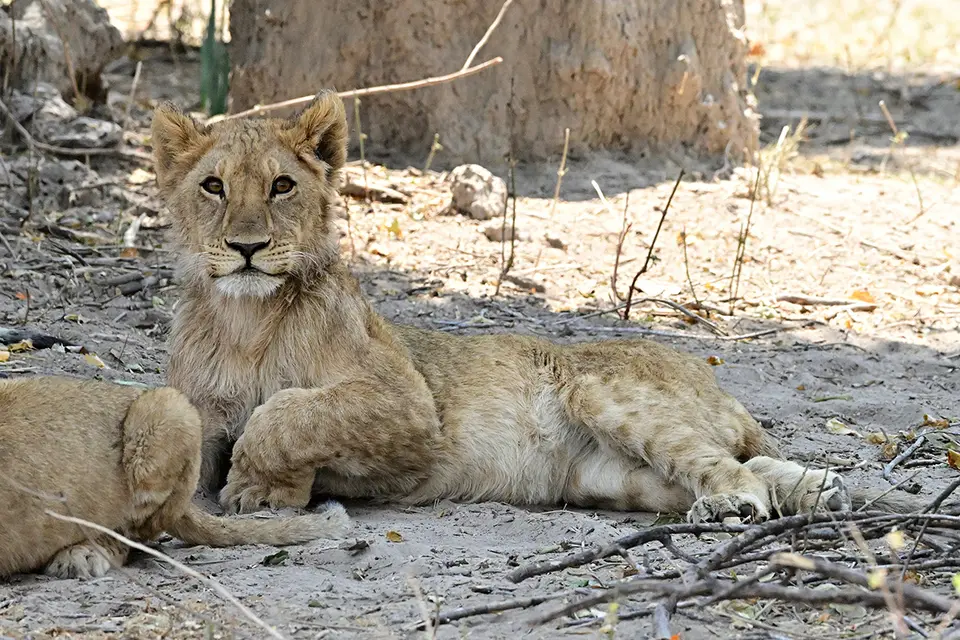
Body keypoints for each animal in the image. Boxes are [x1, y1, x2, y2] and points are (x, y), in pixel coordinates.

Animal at [151, 91, 917, 526]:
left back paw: (743, 503)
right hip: (610, 479)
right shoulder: (200, 409)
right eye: (213, 186)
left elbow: (288, 412)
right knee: (739, 467)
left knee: (733, 469)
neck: (247, 321)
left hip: (600, 391)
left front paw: (258, 487)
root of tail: (712, 378)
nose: (246, 248)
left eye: (282, 185)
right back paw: (822, 491)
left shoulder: (409, 408)